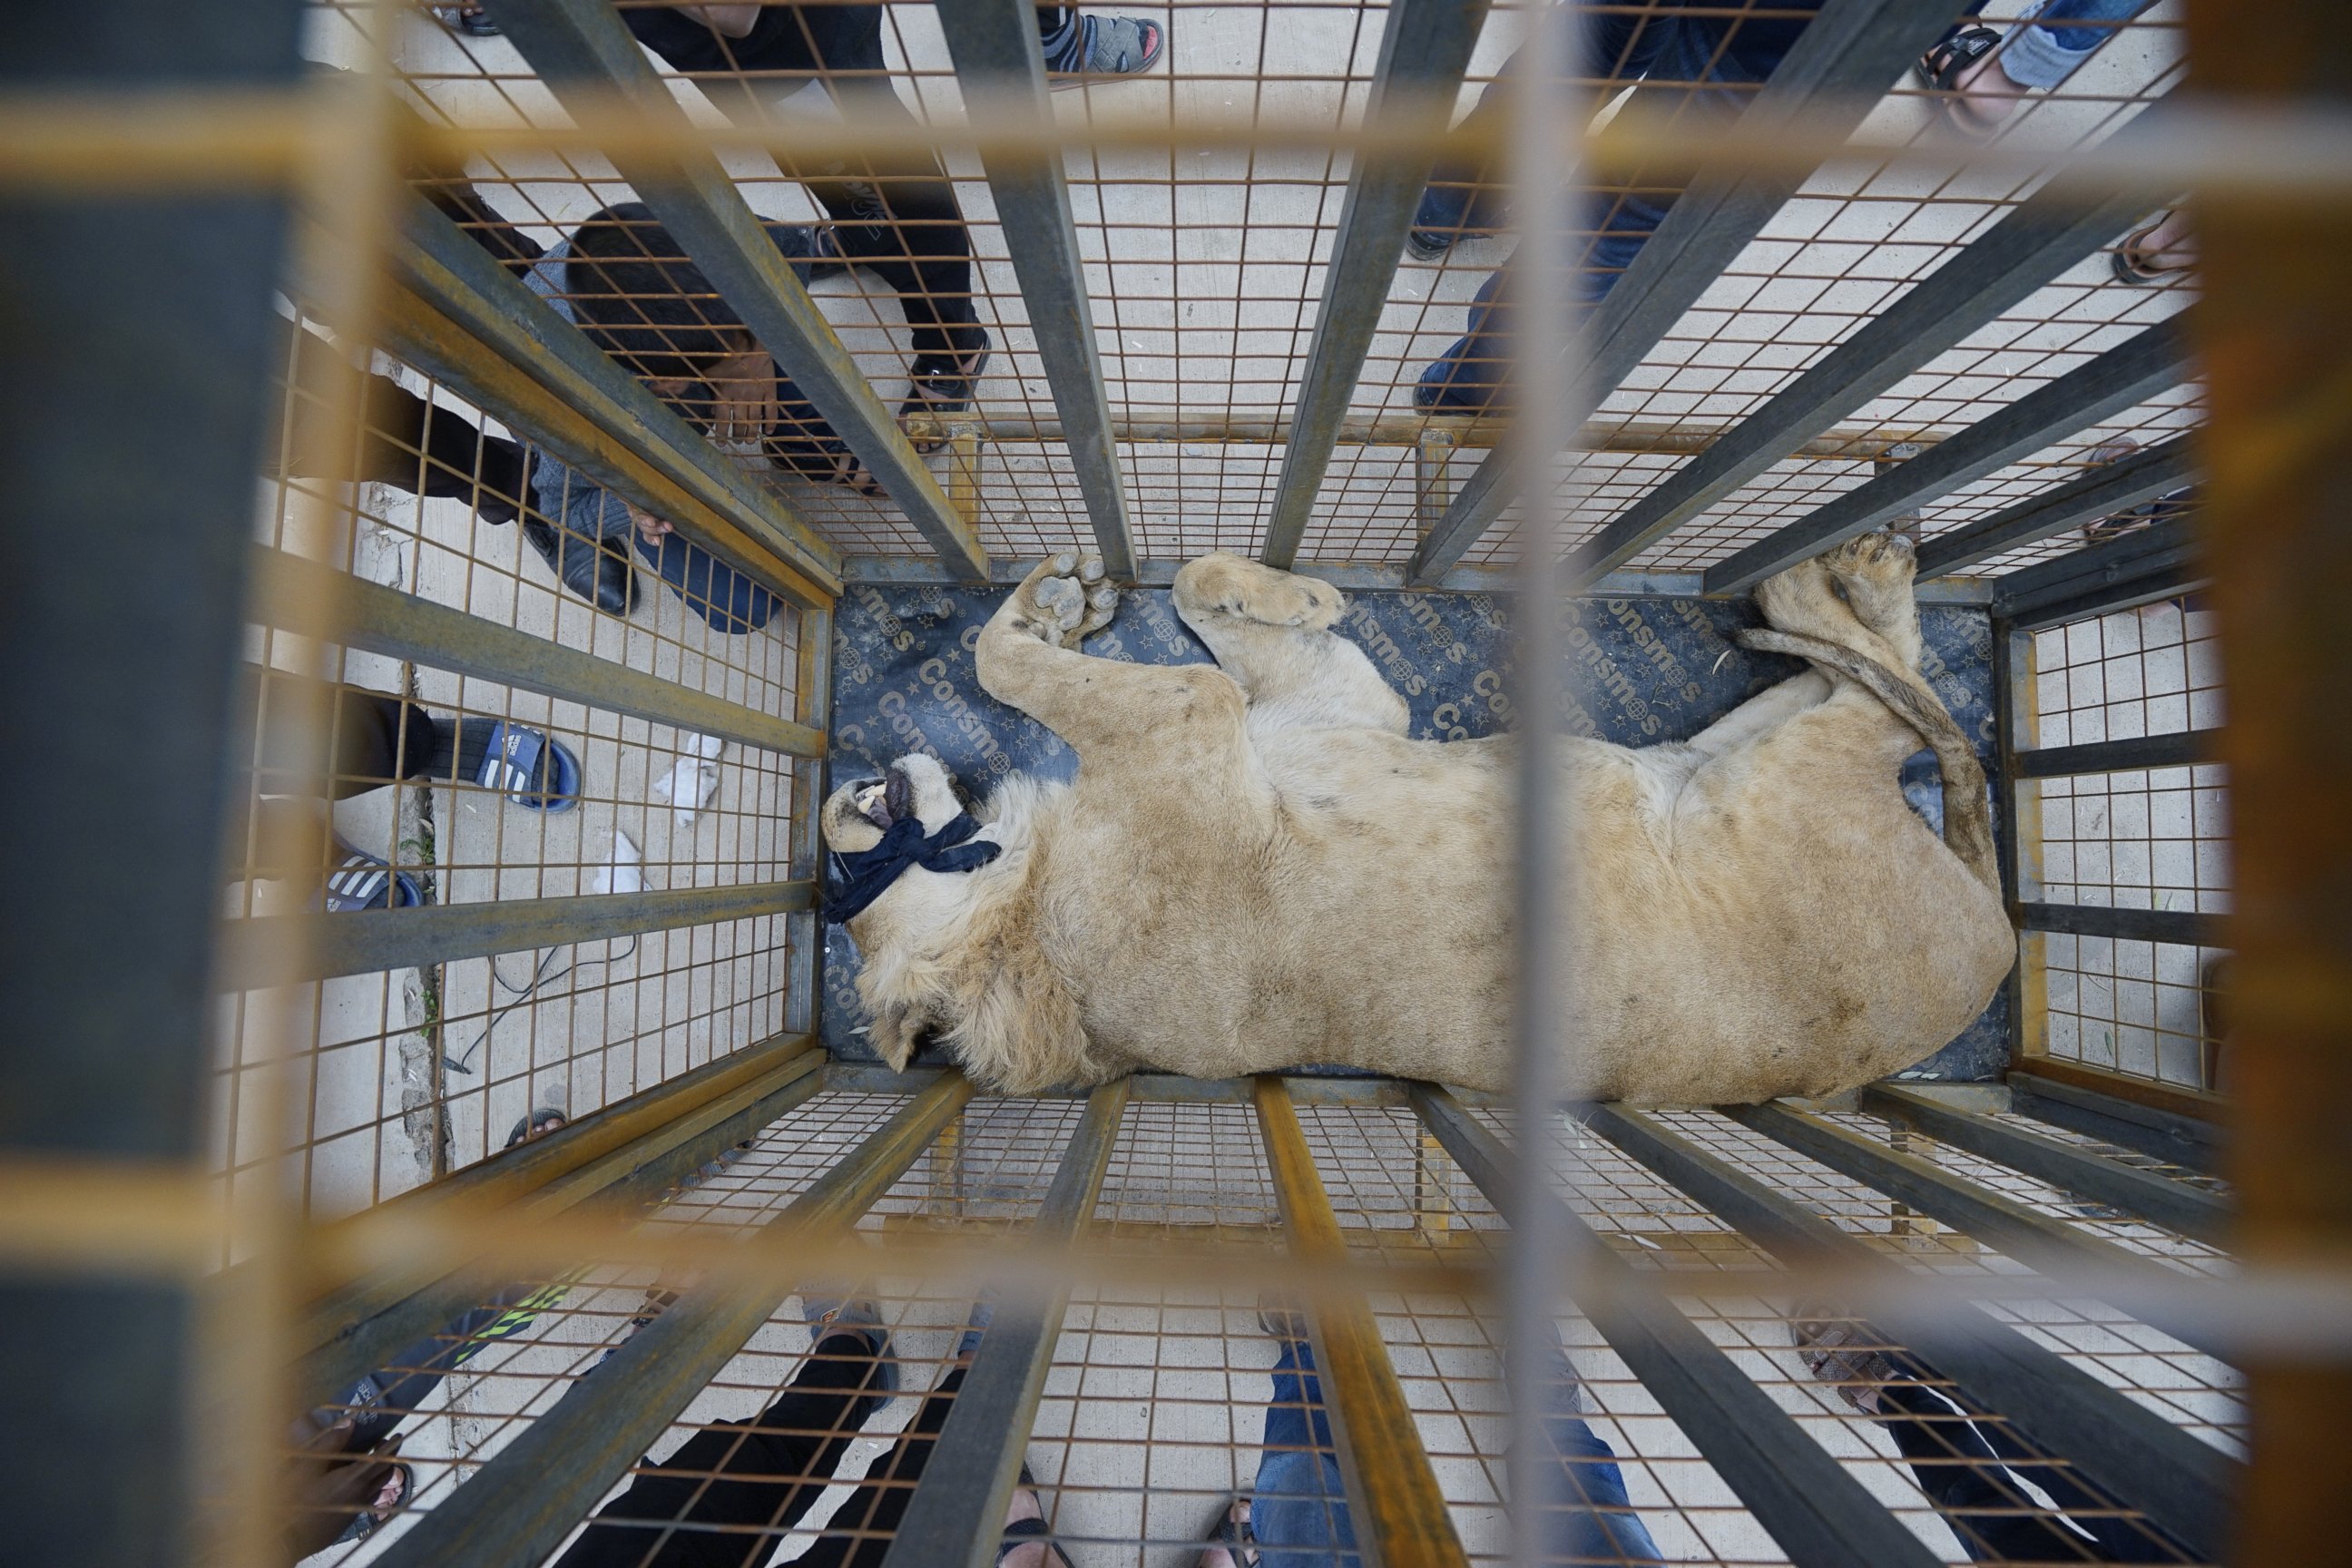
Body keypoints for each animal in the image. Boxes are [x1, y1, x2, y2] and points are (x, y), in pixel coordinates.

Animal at [818, 540, 2013, 1104]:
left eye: (844, 887)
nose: (837, 799)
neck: (1019, 914)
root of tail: (2001, 942)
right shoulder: (1194, 719)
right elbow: (998, 664)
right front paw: (1051, 615)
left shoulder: (1333, 707)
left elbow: (1189, 587)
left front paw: (1071, 599)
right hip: (1778, 775)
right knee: (1886, 699)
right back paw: (1836, 573)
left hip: (1732, 740)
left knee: (1885, 680)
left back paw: (1855, 580)